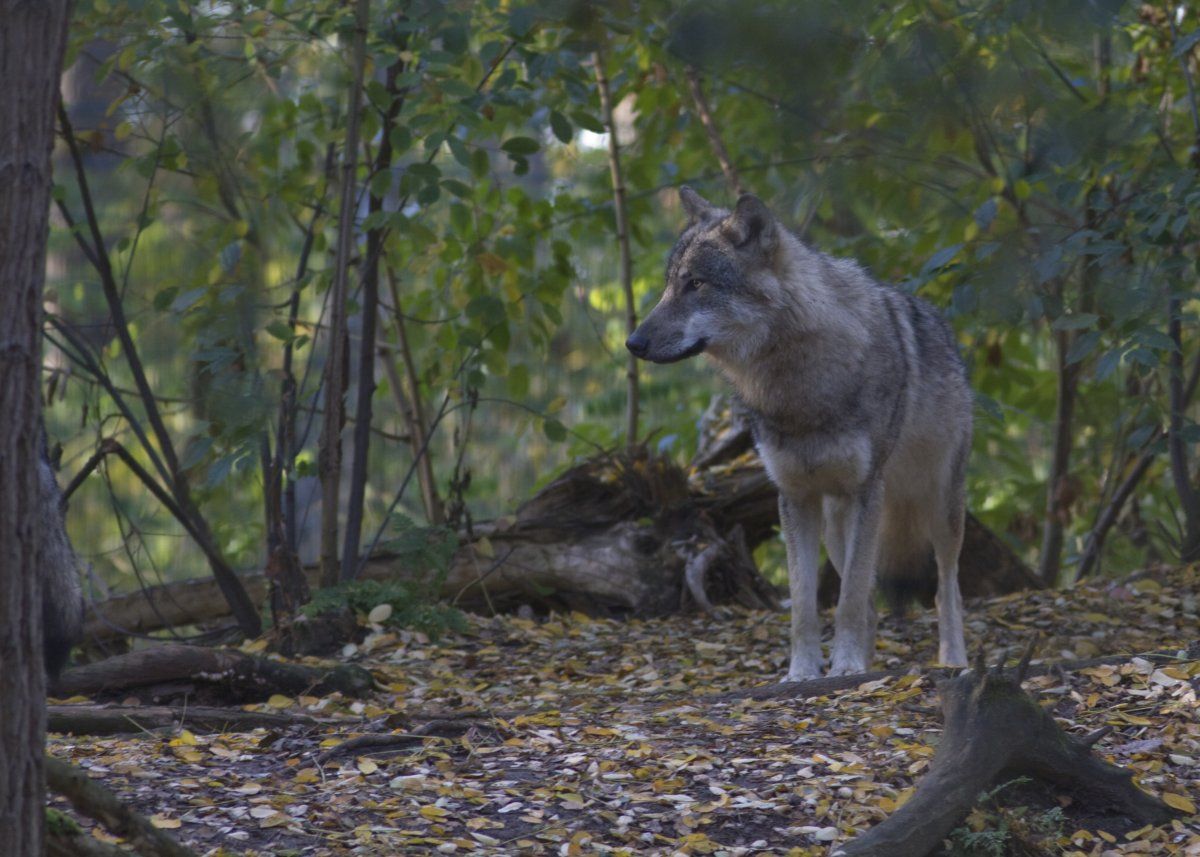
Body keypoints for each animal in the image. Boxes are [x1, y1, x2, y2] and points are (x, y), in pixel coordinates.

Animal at [628, 187, 974, 672]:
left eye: (695, 284)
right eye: (668, 285)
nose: (632, 343)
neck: (798, 387)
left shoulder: (865, 490)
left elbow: (847, 602)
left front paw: (845, 668)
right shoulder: (794, 497)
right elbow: (807, 606)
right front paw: (805, 672)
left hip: (938, 509)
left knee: (946, 589)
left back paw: (952, 659)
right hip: (836, 522)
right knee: (869, 600)